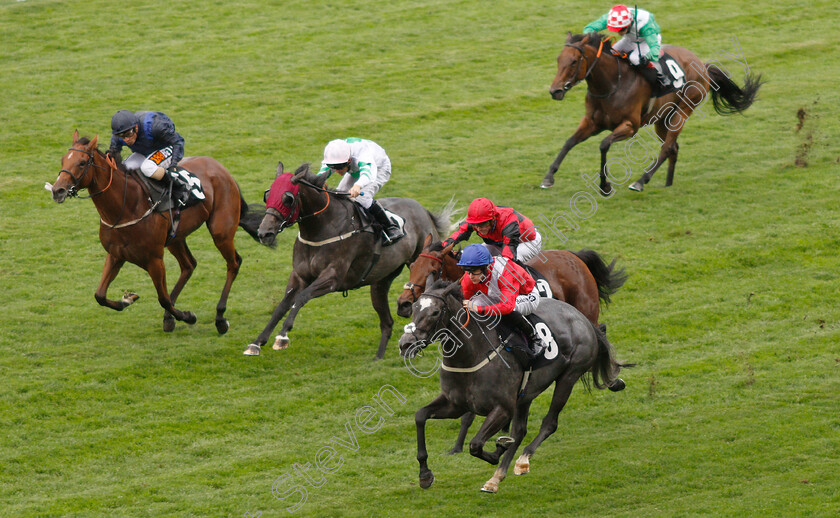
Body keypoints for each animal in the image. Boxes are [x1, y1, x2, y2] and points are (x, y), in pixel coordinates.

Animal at [50, 130, 260, 334]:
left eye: (82, 162)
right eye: (63, 160)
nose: (57, 190)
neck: (127, 207)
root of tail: (219, 166)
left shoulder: (154, 259)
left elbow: (163, 299)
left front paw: (188, 316)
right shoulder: (116, 254)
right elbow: (99, 295)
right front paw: (127, 299)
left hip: (221, 231)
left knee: (233, 263)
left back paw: (220, 318)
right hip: (176, 238)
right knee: (189, 265)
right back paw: (170, 318)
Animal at [243, 165, 452, 360]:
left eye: (288, 199)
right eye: (268, 195)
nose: (264, 233)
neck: (321, 228)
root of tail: (422, 209)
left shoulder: (332, 278)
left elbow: (301, 298)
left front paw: (282, 337)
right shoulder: (299, 276)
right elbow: (282, 306)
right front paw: (256, 343)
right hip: (380, 282)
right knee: (387, 322)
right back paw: (379, 357)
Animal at [398, 280, 628, 496]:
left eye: (435, 312)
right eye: (414, 308)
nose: (405, 343)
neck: (471, 356)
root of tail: (583, 318)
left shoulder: (503, 408)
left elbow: (476, 444)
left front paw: (498, 448)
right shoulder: (456, 404)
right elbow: (420, 416)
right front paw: (425, 475)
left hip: (568, 377)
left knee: (549, 423)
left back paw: (523, 460)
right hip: (526, 395)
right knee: (520, 430)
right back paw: (495, 479)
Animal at [540, 33, 764, 194]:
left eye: (574, 61)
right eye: (559, 59)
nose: (555, 91)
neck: (612, 84)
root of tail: (703, 65)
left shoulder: (630, 126)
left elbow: (603, 145)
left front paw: (605, 186)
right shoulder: (591, 123)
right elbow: (569, 142)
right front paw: (548, 178)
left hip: (682, 111)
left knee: (667, 148)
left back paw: (641, 181)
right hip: (663, 120)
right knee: (673, 147)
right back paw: (667, 183)